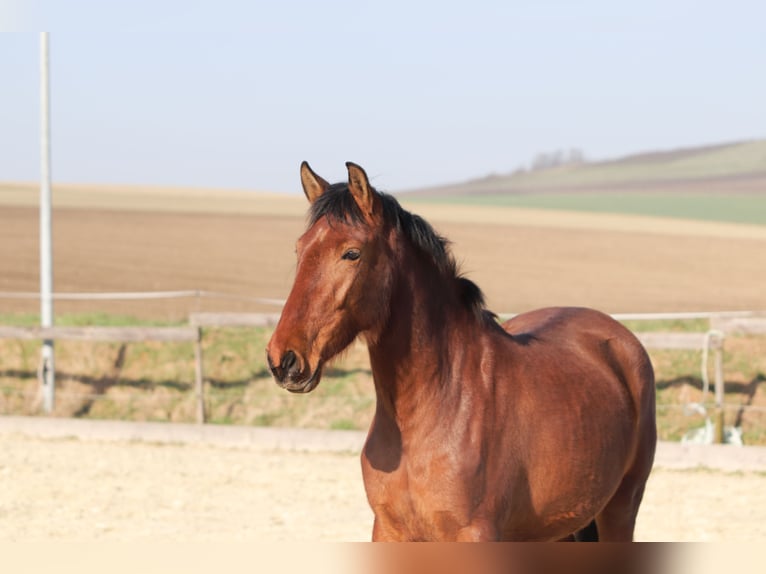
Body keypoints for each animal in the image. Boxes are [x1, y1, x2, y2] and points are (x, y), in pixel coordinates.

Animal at [266, 161, 657, 541]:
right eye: (300, 249)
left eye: (351, 253)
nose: (283, 359)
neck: (439, 405)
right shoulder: (388, 531)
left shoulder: (474, 534)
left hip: (620, 509)